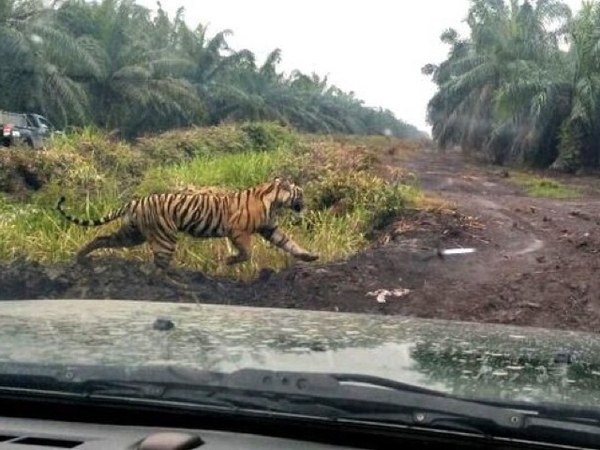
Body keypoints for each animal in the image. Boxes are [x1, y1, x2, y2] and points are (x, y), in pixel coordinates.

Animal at [55, 177, 318, 276]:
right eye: (300, 193)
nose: (305, 203)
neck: (274, 203)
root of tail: (134, 201)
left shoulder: (270, 229)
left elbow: (290, 244)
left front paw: (310, 256)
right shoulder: (238, 231)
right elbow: (246, 252)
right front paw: (228, 261)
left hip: (132, 234)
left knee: (102, 238)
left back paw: (81, 258)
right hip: (163, 238)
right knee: (157, 267)